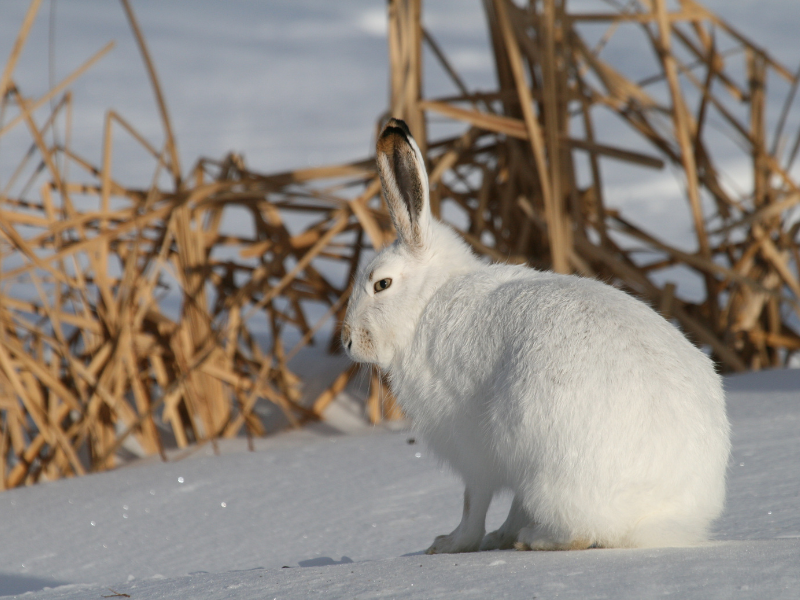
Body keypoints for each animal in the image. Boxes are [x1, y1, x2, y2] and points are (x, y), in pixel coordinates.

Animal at [341, 118, 731, 553]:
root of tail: (657, 521)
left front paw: (448, 544)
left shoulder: (472, 451)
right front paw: (497, 536)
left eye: (382, 284)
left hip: (546, 467)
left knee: (579, 534)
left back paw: (534, 540)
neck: (428, 301)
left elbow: (472, 504)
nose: (349, 342)